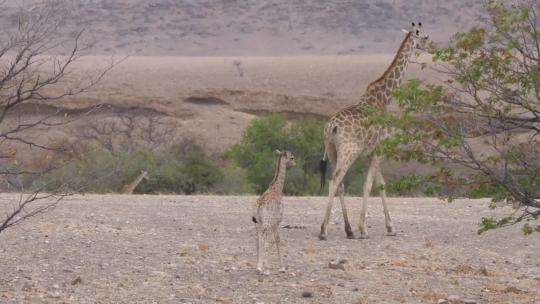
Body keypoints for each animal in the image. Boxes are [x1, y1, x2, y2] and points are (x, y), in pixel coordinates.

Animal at [318, 22, 428, 240]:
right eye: (424, 37)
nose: (427, 47)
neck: (384, 98)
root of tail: (332, 127)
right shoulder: (380, 149)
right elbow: (370, 185)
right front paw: (365, 229)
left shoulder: (372, 153)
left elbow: (380, 183)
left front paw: (389, 227)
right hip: (349, 152)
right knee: (335, 180)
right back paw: (324, 230)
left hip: (333, 151)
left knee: (339, 183)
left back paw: (348, 230)